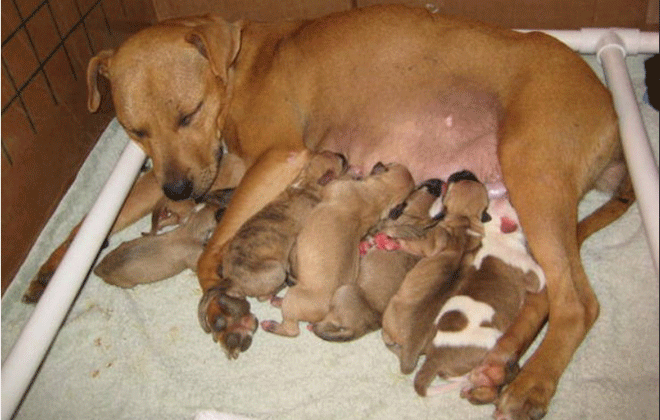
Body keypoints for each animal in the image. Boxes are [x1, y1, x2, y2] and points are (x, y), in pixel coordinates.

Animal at [262, 162, 412, 336]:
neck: (379, 195)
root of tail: (327, 314)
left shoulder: (334, 186)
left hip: (293, 299)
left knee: (291, 329)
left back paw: (271, 325)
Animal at [310, 179, 444, 342]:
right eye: (429, 188)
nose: (439, 181)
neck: (410, 222)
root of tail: (360, 328)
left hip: (344, 290)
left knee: (326, 323)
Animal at [412, 195, 548, 396]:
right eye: (512, 204)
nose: (506, 194)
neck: (494, 233)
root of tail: (433, 358)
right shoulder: (532, 273)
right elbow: (540, 276)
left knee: (447, 375)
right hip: (490, 339)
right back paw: (473, 379)